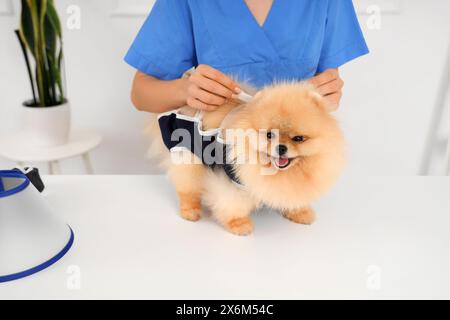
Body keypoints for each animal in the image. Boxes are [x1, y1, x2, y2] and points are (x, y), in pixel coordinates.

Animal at [148, 80, 344, 235]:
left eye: (298, 138)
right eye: (269, 135)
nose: (281, 148)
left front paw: (299, 212)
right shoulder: (232, 180)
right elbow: (232, 203)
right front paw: (239, 224)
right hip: (189, 157)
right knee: (187, 187)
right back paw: (190, 211)